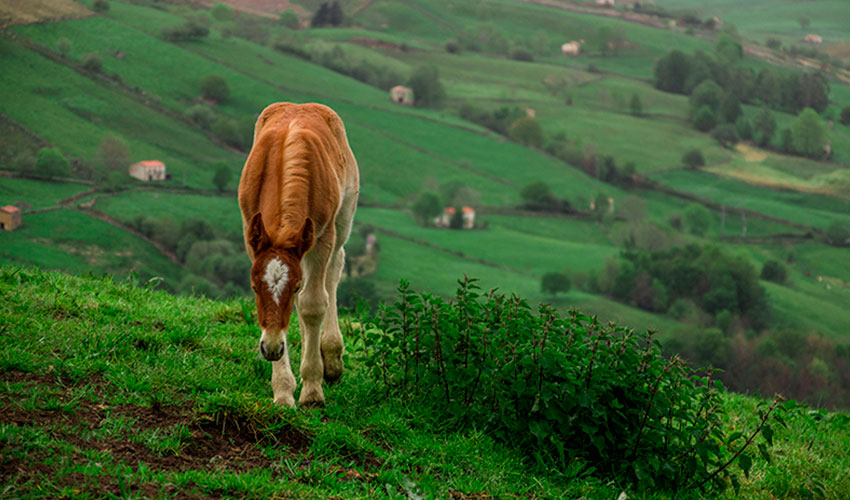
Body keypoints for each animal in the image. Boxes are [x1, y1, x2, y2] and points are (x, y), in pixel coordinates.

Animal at [237, 103, 360, 408]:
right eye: (254, 287)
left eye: (292, 286)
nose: (269, 348)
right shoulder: (252, 236)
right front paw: (282, 391)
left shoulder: (322, 237)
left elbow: (313, 304)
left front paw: (312, 390)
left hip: (343, 218)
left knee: (334, 270)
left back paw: (331, 358)